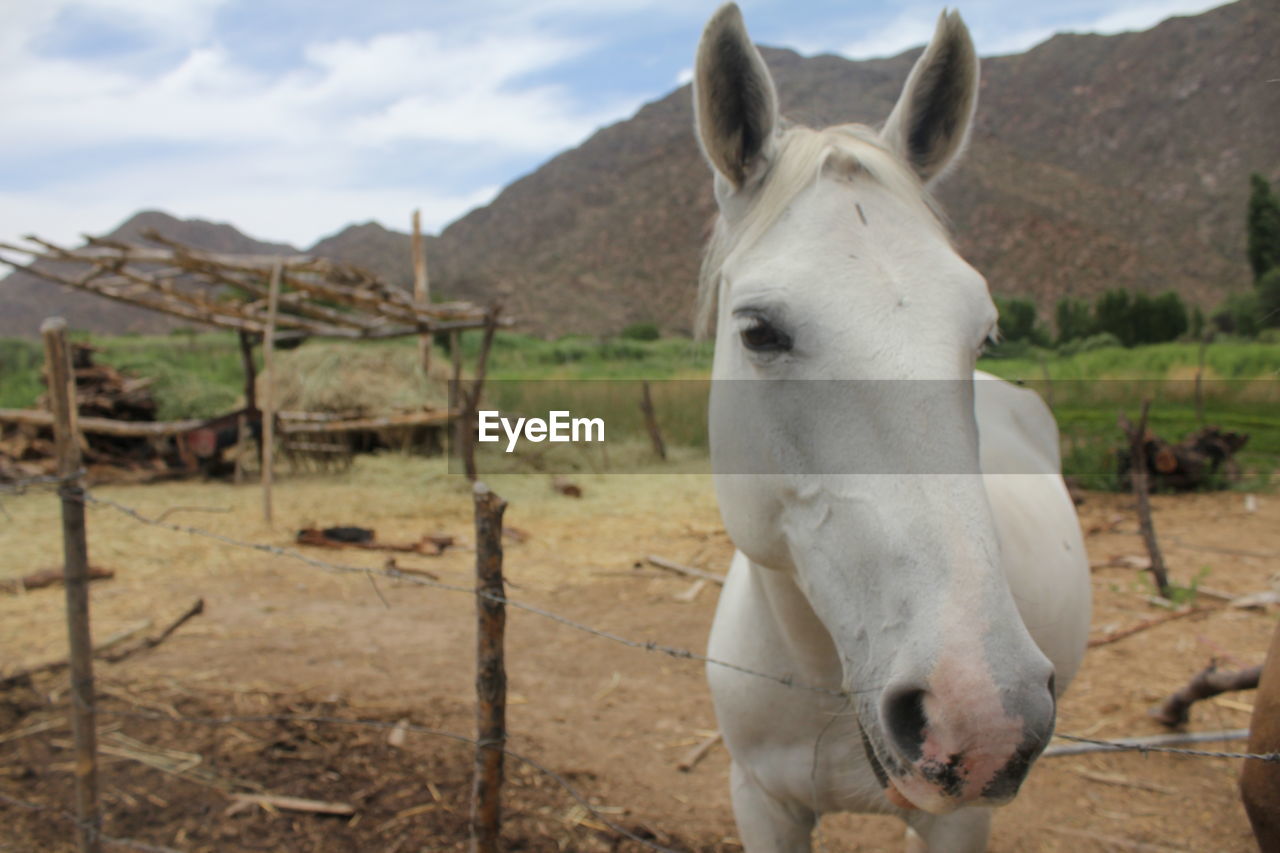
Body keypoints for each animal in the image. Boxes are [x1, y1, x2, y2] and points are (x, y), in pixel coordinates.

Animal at [696, 6, 1085, 850]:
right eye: (758, 331)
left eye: (984, 333)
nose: (982, 712)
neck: (823, 680)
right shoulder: (759, 798)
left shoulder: (959, 819)